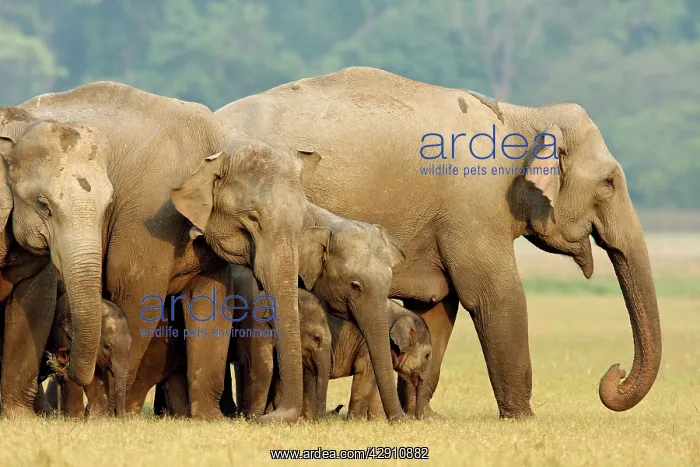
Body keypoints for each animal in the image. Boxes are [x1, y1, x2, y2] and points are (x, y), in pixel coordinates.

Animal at [0, 81, 319, 422]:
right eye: (253, 218)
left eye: (302, 219)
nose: (266, 418)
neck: (221, 141)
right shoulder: (148, 220)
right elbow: (139, 297)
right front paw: (113, 413)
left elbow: (212, 305)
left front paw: (209, 418)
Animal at [214, 66, 663, 419]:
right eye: (610, 182)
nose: (615, 373)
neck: (522, 115)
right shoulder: (475, 206)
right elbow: (495, 295)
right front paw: (524, 418)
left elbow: (437, 307)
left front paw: (426, 416)